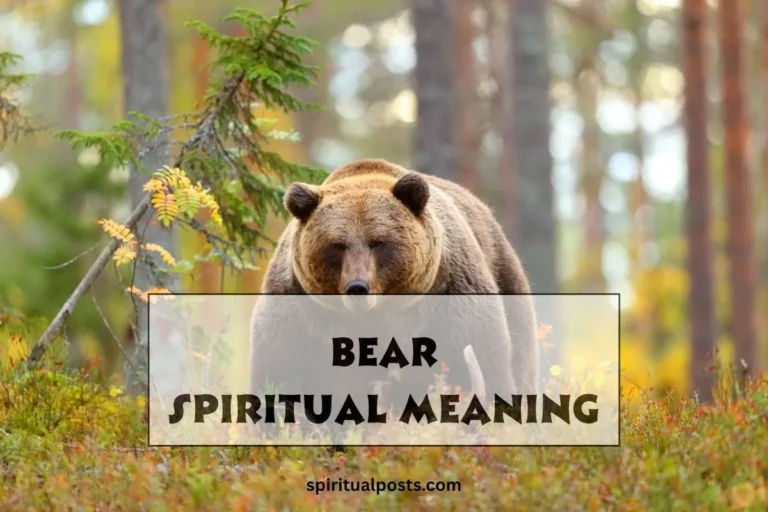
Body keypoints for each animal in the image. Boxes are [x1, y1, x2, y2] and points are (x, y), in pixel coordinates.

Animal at [247, 158, 540, 443]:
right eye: (337, 245)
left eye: (377, 242)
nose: (357, 287)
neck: (373, 316)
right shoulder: (298, 310)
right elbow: (281, 373)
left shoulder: (450, 295)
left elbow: (479, 360)